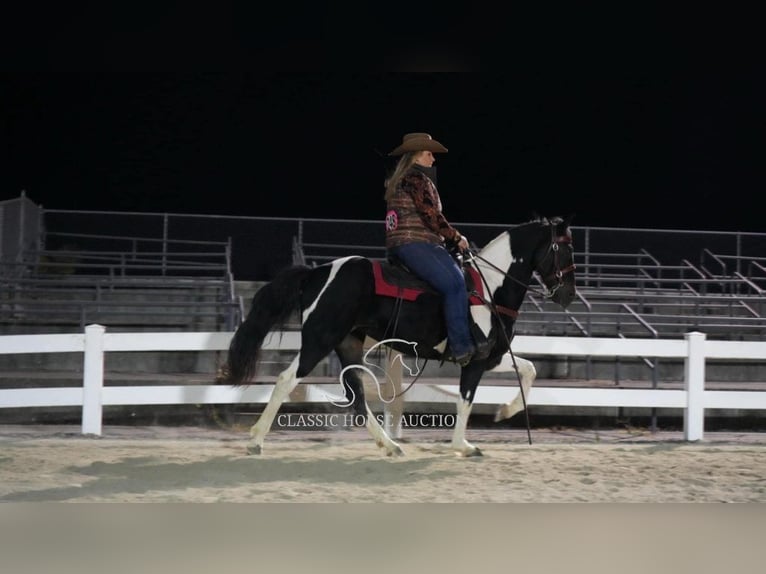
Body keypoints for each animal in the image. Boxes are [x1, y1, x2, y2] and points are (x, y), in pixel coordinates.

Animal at [219, 216, 580, 460]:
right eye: (565, 248)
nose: (568, 295)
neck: (490, 287)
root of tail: (316, 273)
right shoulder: (474, 360)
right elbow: (465, 400)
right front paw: (463, 445)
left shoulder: (491, 355)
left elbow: (529, 369)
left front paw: (505, 411)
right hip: (319, 341)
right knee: (286, 379)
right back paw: (255, 440)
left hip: (348, 345)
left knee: (358, 399)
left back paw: (389, 445)